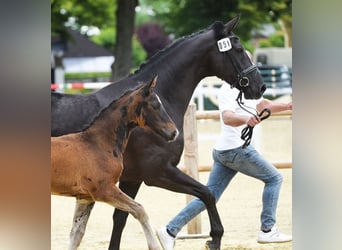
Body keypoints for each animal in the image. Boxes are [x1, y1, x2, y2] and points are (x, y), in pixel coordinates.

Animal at [51, 76, 179, 250]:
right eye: (155, 105)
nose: (174, 132)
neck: (98, 143)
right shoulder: (104, 190)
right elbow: (140, 210)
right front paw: (154, 246)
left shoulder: (85, 197)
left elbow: (76, 235)